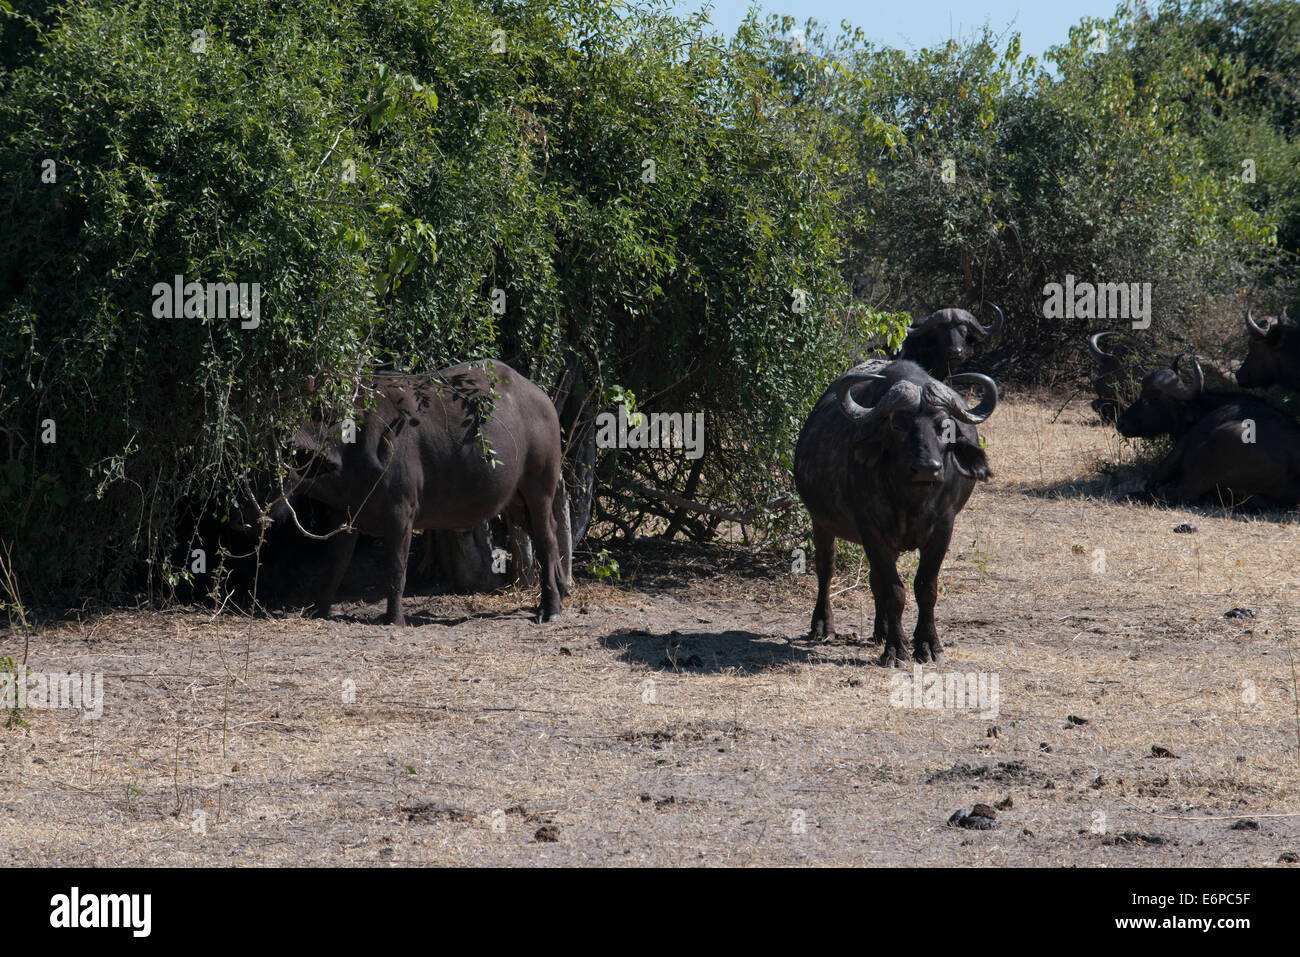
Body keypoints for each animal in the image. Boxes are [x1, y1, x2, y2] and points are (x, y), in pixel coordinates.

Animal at [244, 361, 569, 624]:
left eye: (273, 468)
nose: (245, 517)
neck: (351, 445)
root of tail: (544, 401)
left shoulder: (401, 514)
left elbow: (396, 567)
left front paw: (394, 617)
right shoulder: (344, 515)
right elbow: (336, 565)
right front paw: (320, 610)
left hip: (539, 489)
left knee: (547, 539)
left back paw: (550, 608)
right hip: (515, 500)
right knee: (551, 533)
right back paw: (561, 592)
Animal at [790, 358, 993, 665]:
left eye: (945, 426)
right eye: (898, 424)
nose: (927, 468)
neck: (911, 500)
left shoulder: (943, 528)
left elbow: (925, 587)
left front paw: (928, 645)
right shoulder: (871, 529)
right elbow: (893, 590)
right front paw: (896, 650)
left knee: (874, 580)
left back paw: (882, 630)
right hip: (821, 522)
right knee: (826, 569)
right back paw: (823, 626)